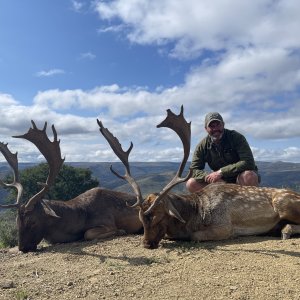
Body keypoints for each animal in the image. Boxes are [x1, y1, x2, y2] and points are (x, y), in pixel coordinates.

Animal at [0, 120, 142, 252]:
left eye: (33, 221)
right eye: (17, 221)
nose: (22, 248)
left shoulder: (108, 221)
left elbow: (88, 233)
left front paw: (121, 231)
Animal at [99, 105, 300, 248]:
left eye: (158, 217)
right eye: (140, 219)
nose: (146, 244)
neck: (195, 214)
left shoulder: (224, 226)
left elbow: (194, 236)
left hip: (284, 202)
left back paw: (286, 230)